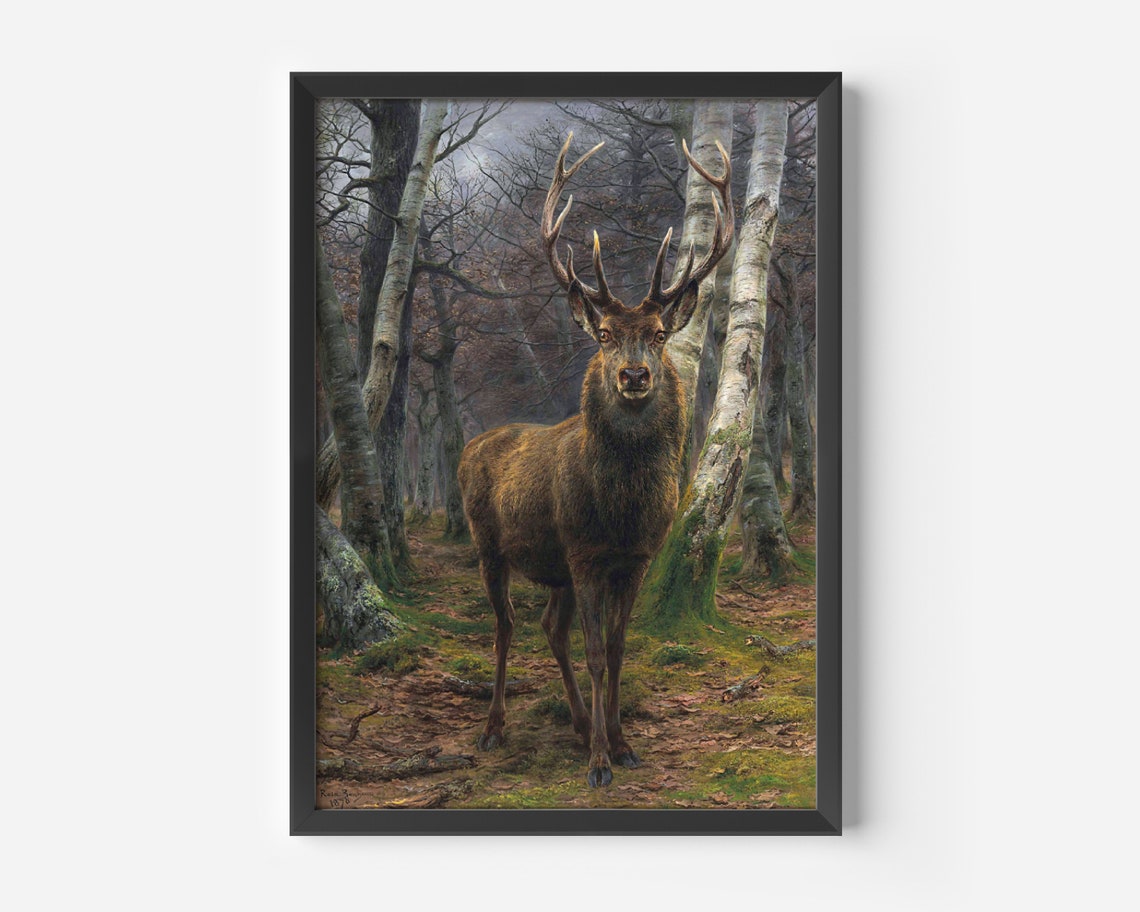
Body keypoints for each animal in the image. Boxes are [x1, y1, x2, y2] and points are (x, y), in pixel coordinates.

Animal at [457, 132, 733, 787]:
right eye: (605, 334)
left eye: (658, 333)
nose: (633, 375)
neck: (621, 512)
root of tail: (472, 445)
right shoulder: (584, 552)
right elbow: (593, 652)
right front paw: (601, 763)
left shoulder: (632, 558)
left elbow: (616, 648)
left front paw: (622, 743)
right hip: (489, 543)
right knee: (506, 626)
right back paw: (494, 728)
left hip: (552, 563)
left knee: (546, 628)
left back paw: (582, 725)